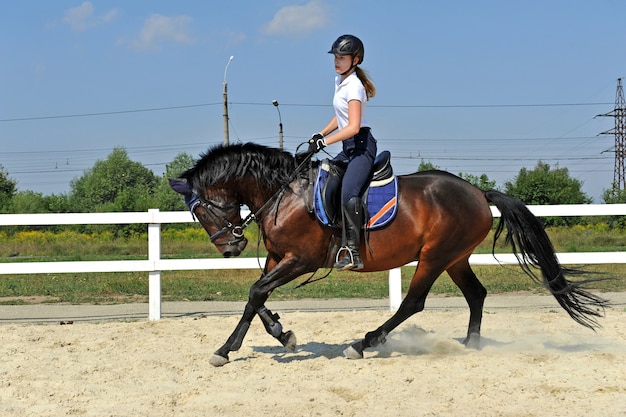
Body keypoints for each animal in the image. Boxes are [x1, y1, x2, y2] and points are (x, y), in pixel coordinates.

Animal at [169, 141, 604, 366]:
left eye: (200, 210)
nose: (231, 247)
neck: (284, 193)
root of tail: (479, 193)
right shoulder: (280, 258)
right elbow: (256, 297)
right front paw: (282, 334)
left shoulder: (301, 260)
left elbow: (256, 292)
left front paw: (225, 351)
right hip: (455, 258)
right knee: (476, 295)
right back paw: (469, 345)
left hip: (433, 257)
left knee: (413, 302)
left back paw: (364, 343)